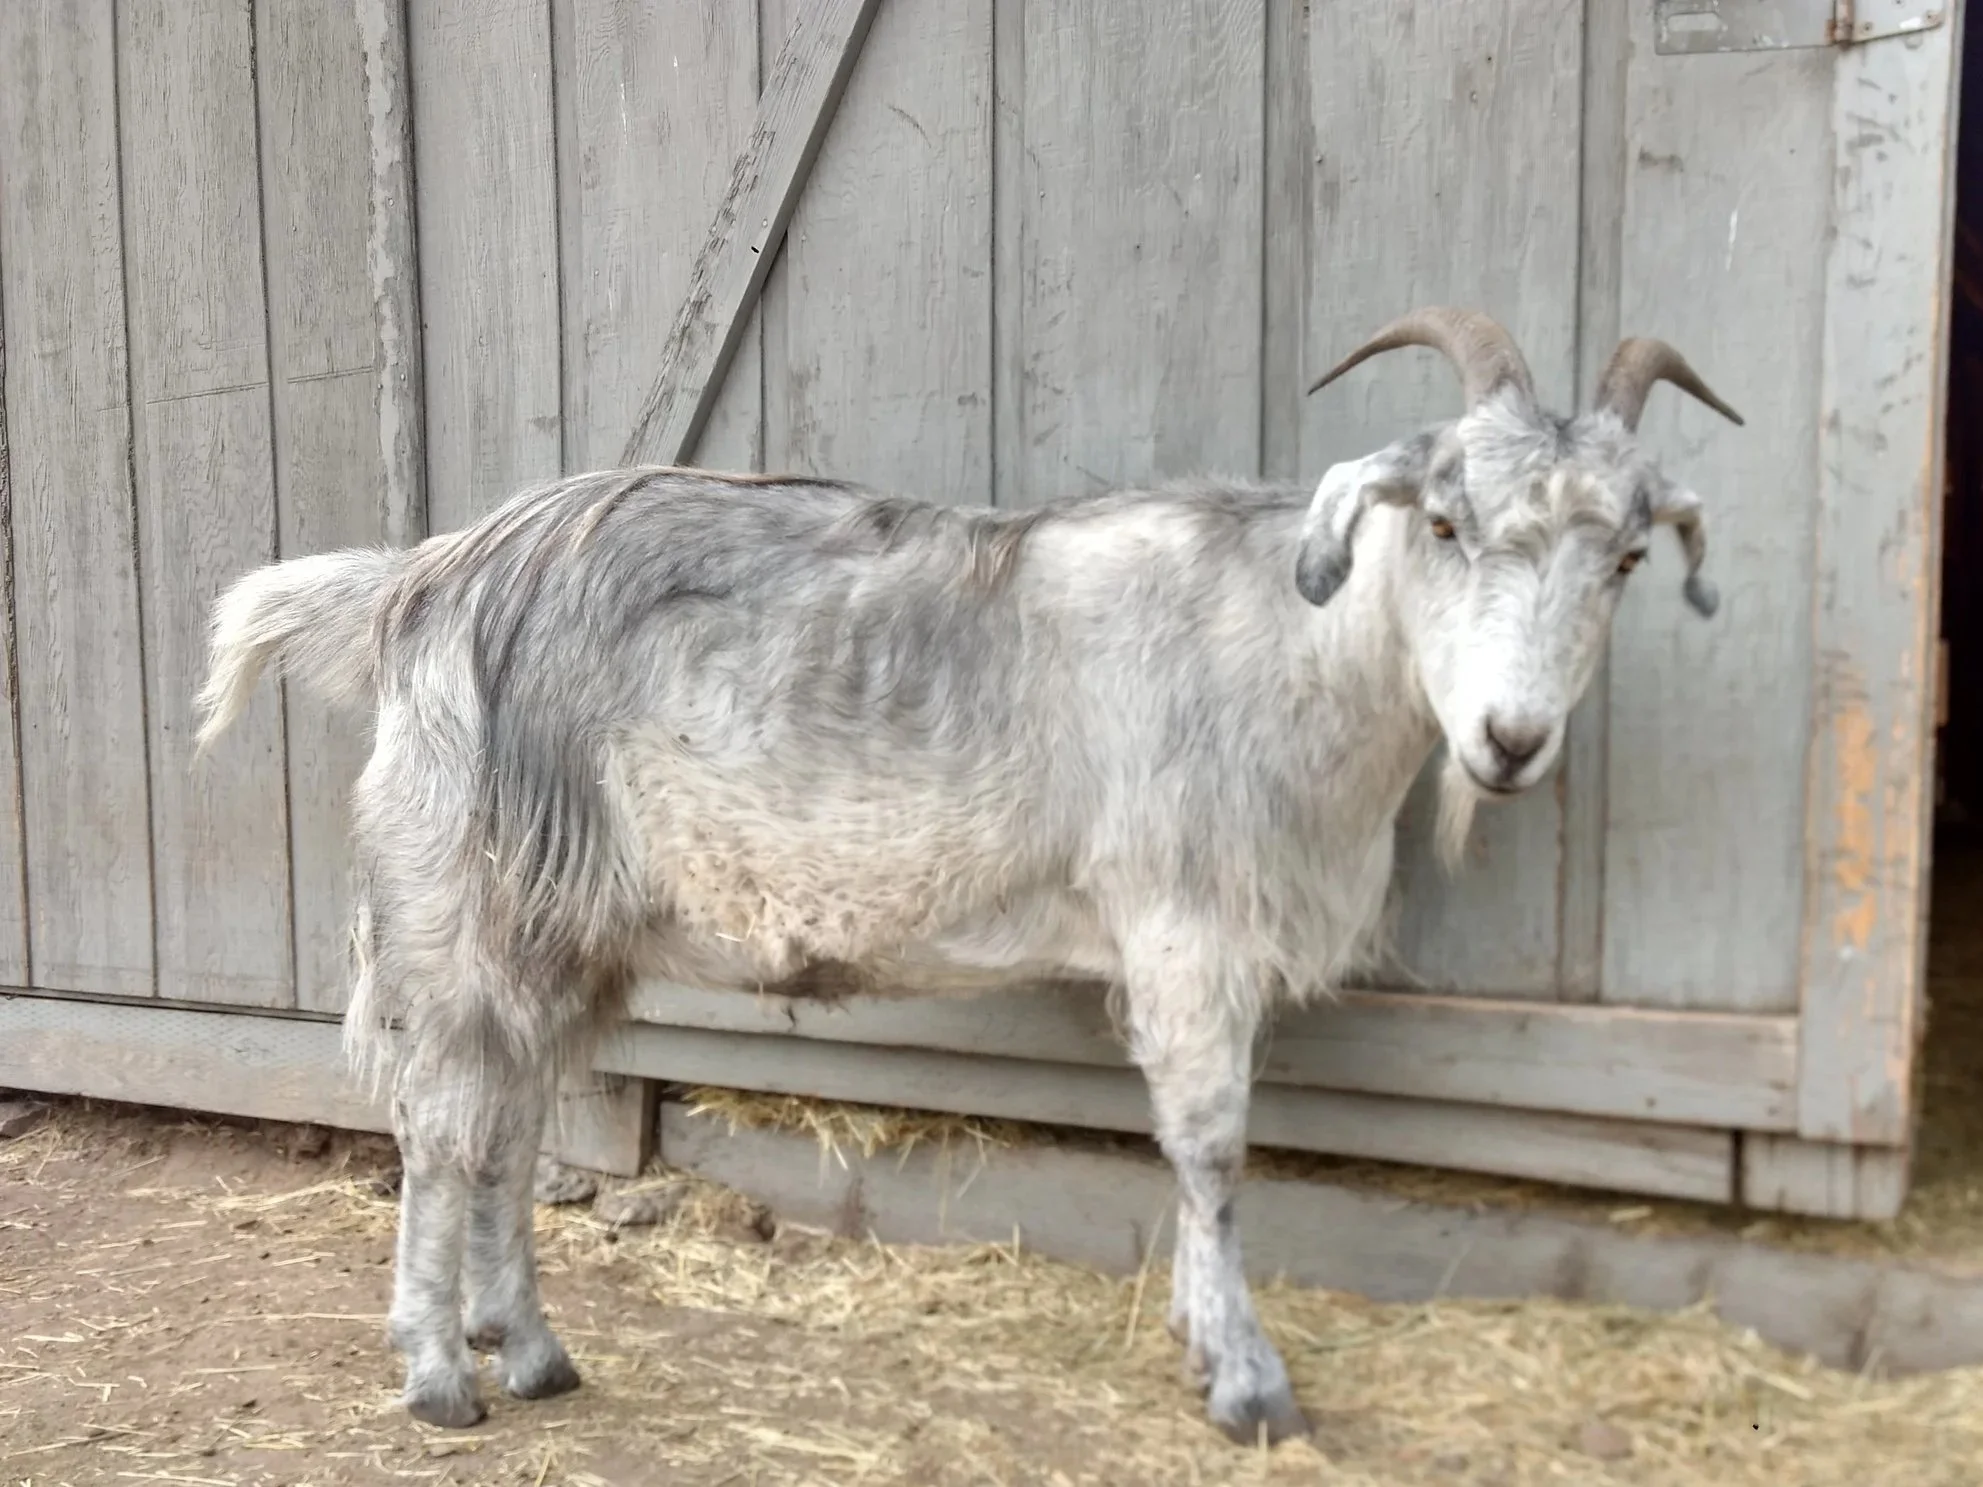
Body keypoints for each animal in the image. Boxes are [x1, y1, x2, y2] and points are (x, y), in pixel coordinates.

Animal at [194, 308, 1740, 1444]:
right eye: (1443, 523)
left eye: (1623, 554)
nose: (1510, 740)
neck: (1289, 647)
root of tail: (415, 587)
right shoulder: (1183, 926)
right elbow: (1211, 1146)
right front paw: (1248, 1381)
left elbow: (1192, 1148)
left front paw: (1203, 1346)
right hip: (469, 905)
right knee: (445, 1128)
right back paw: (436, 1374)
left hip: (567, 926)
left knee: (508, 1129)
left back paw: (530, 1348)